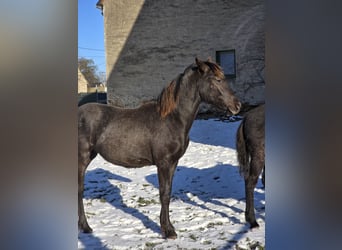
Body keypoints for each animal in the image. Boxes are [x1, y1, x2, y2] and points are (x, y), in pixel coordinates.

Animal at [79, 57, 242, 239]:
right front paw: (168, 231)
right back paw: (86, 227)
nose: (237, 105)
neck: (172, 119)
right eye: (217, 80)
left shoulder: (173, 163)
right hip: (81, 159)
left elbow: (168, 192)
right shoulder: (163, 163)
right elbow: (164, 194)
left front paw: (167, 226)